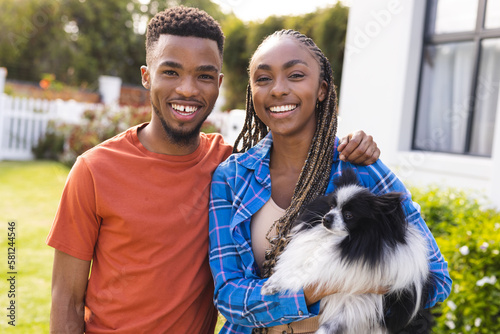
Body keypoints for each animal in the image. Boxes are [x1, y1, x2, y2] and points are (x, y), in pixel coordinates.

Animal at [262, 170, 430, 334]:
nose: (326, 218)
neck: (341, 241)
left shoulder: (356, 304)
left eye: (349, 215)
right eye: (331, 206)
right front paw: (272, 283)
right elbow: (298, 267)